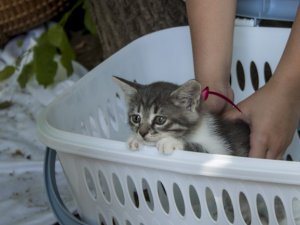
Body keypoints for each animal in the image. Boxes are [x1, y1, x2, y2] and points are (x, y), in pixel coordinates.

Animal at [113, 75, 250, 156]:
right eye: (136, 118)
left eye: (160, 120)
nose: (141, 133)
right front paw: (135, 138)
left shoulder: (221, 152)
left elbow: (200, 149)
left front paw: (171, 142)